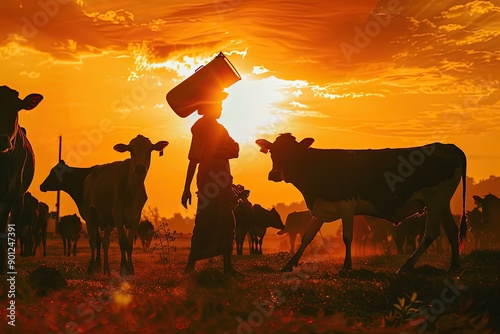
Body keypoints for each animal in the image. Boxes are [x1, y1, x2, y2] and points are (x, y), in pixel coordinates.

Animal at [82, 134, 168, 276]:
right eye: (131, 150)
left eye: (149, 149)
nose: (140, 167)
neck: (132, 189)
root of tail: (90, 175)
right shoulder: (117, 215)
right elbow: (122, 242)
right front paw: (123, 267)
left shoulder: (135, 217)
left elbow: (129, 244)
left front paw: (131, 268)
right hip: (90, 214)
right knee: (93, 241)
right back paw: (90, 267)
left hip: (108, 222)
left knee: (105, 242)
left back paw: (106, 268)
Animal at [258, 134, 468, 274]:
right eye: (272, 152)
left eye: (292, 153)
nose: (274, 174)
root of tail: (446, 146)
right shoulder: (321, 208)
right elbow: (307, 237)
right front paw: (288, 265)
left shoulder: (347, 206)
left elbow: (347, 238)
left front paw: (346, 267)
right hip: (442, 203)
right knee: (451, 229)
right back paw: (454, 265)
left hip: (435, 201)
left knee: (431, 233)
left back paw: (407, 265)